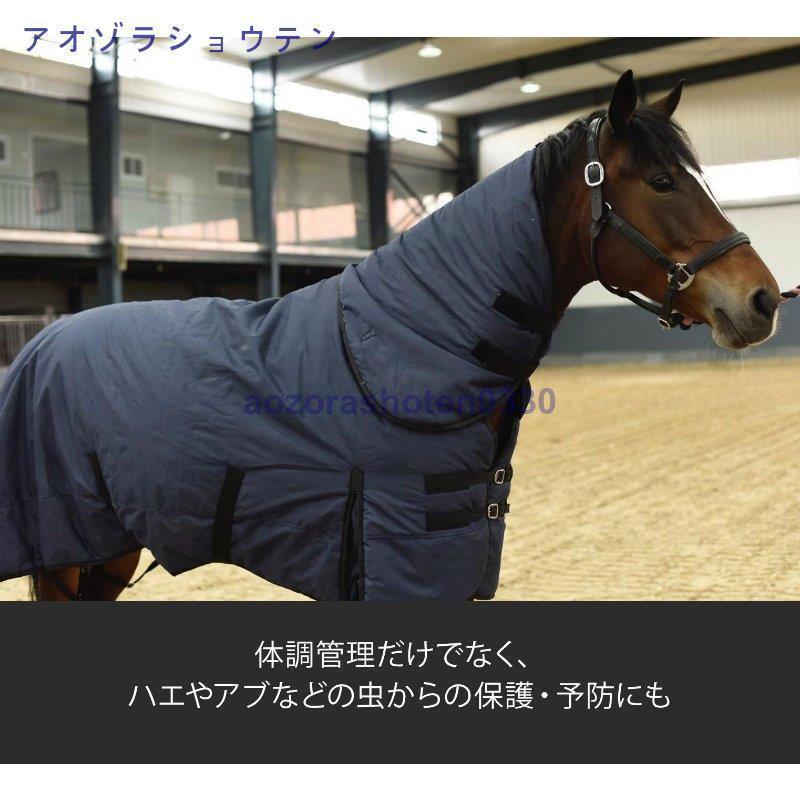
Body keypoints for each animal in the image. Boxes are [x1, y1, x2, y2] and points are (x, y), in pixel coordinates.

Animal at [2, 69, 781, 601]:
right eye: (661, 182)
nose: (765, 299)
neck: (416, 337)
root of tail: (40, 343)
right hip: (70, 556)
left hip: (106, 555)